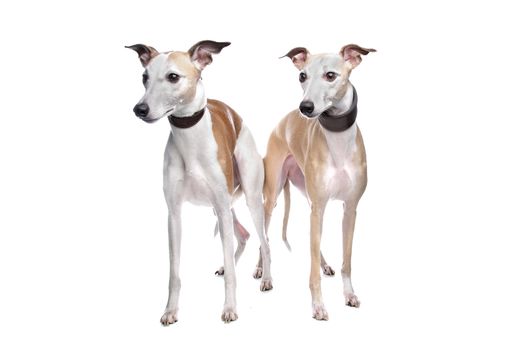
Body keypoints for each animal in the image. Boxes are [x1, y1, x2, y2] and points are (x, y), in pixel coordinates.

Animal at [127, 41, 272, 326]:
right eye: (144, 77)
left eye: (173, 76)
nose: (140, 109)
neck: (189, 139)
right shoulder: (174, 214)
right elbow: (174, 272)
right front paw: (170, 311)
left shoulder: (224, 205)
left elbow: (232, 270)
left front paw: (229, 308)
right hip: (221, 208)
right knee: (243, 236)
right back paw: (228, 264)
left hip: (249, 200)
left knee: (264, 240)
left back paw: (267, 278)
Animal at [260, 43, 374, 320]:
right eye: (302, 76)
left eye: (330, 75)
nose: (306, 107)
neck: (338, 141)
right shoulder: (319, 207)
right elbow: (310, 269)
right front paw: (319, 305)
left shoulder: (350, 209)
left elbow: (346, 260)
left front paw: (349, 294)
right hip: (272, 196)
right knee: (264, 237)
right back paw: (263, 274)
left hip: (307, 195)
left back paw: (324, 264)